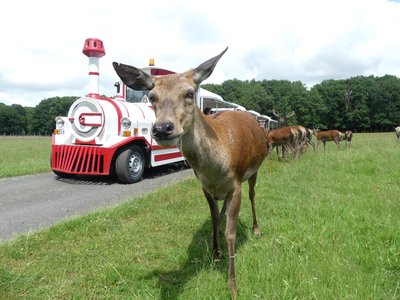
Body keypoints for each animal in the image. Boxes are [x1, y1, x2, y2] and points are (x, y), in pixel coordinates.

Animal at [112, 48, 268, 298]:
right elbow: (214, 219)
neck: (216, 166)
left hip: (255, 169)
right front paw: (215, 254)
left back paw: (256, 229)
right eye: (152, 97)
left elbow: (231, 232)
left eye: (190, 93)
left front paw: (233, 286)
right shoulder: (205, 187)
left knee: (253, 195)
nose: (162, 128)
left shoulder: (236, 184)